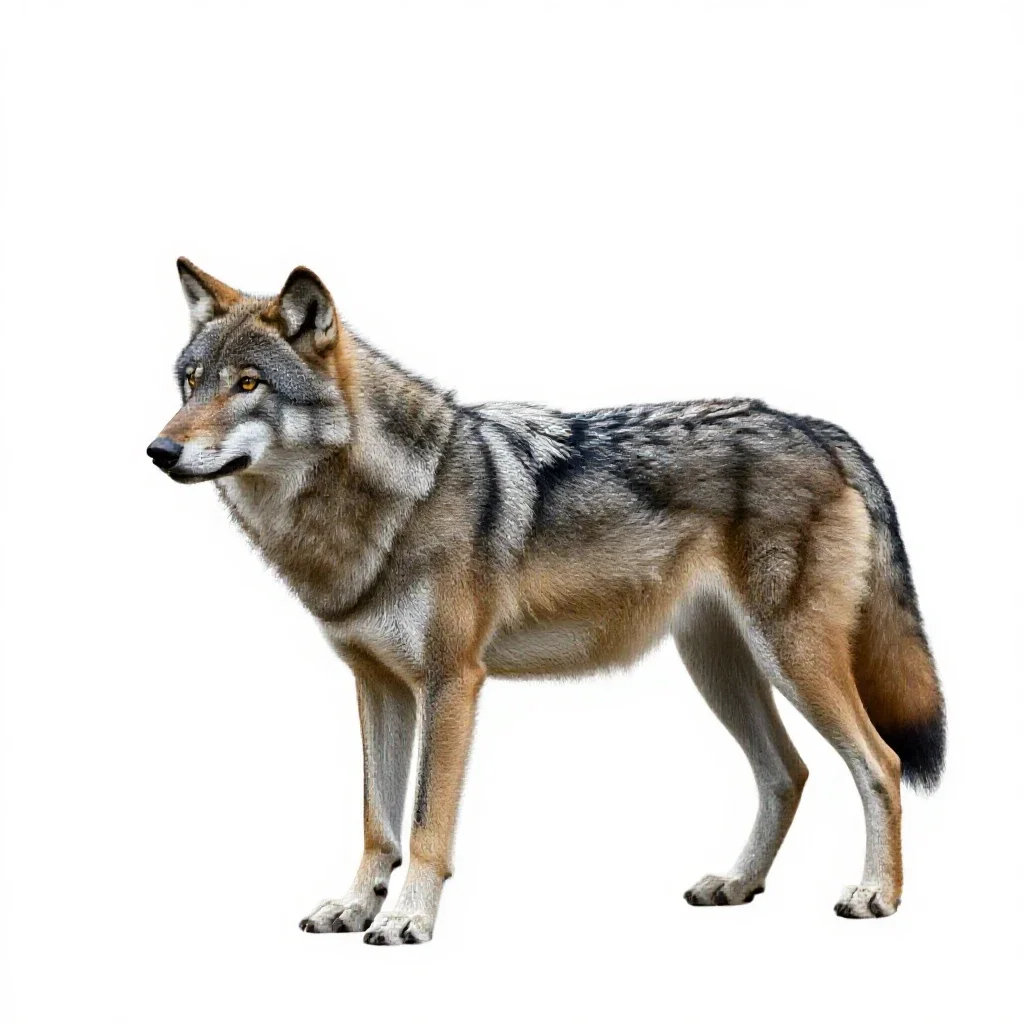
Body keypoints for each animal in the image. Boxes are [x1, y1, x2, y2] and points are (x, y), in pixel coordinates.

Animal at [148, 259, 946, 944]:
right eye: (190, 382)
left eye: (249, 384)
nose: (159, 451)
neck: (385, 505)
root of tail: (814, 427)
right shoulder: (378, 686)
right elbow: (379, 824)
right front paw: (354, 907)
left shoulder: (452, 683)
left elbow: (425, 824)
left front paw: (406, 920)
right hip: (721, 667)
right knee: (788, 774)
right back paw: (736, 883)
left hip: (792, 660)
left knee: (880, 763)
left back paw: (876, 894)